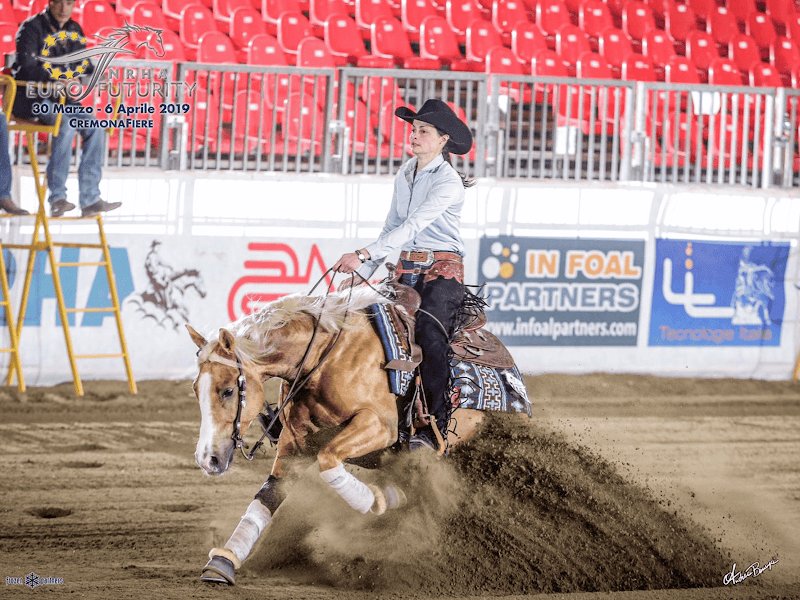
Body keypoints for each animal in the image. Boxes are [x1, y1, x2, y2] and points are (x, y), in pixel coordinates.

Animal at [187, 286, 493, 585]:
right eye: (195, 389)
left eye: (228, 390)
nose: (208, 459)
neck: (323, 360)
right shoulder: (294, 444)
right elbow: (267, 497)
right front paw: (222, 562)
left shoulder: (379, 426)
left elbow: (328, 458)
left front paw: (381, 499)